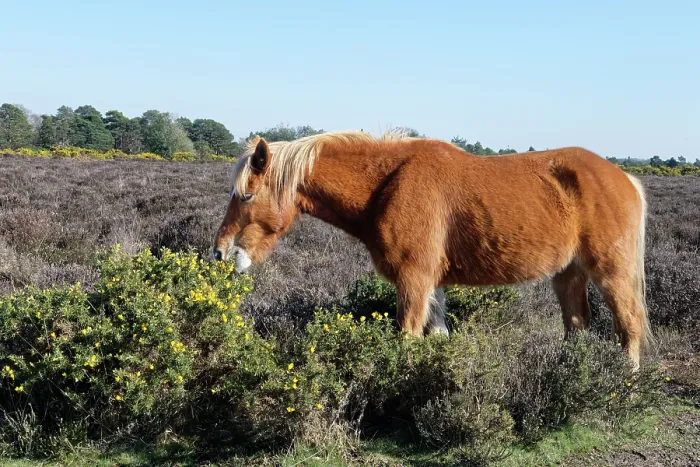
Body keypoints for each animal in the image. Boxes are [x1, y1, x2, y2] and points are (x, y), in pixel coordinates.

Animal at [212, 129, 653, 370]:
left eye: (246, 195)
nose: (219, 253)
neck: (387, 184)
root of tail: (625, 178)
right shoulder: (432, 284)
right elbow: (437, 336)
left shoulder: (413, 280)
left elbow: (407, 337)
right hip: (568, 273)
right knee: (577, 325)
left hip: (610, 273)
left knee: (629, 323)